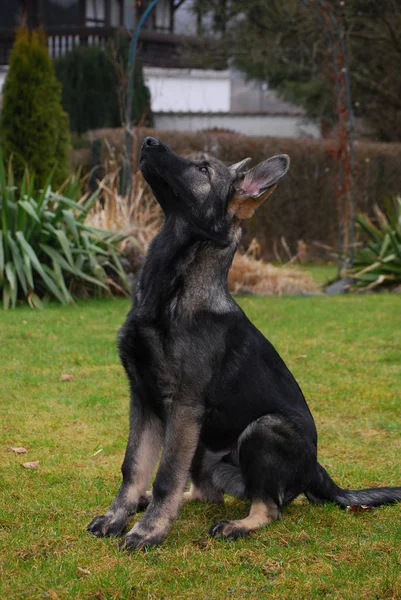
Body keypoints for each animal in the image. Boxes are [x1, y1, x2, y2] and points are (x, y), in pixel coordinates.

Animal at [87, 138, 400, 552]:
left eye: (204, 169)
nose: (149, 141)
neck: (174, 294)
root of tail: (317, 470)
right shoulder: (143, 399)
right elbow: (133, 467)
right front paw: (117, 517)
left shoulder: (183, 406)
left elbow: (166, 475)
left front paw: (148, 531)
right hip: (202, 444)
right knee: (205, 492)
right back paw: (157, 502)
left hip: (262, 431)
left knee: (269, 507)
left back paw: (237, 525)